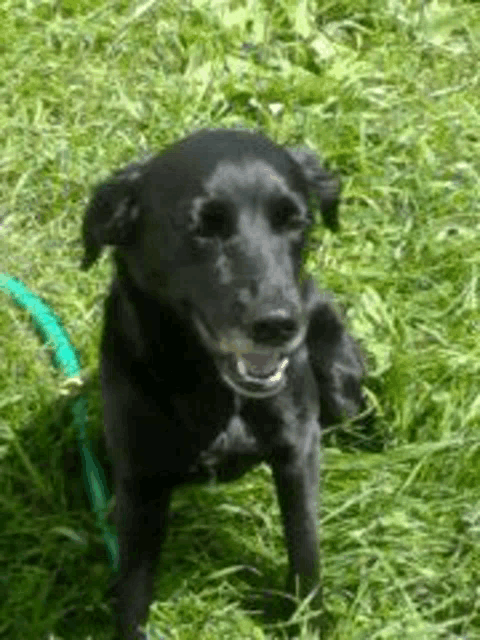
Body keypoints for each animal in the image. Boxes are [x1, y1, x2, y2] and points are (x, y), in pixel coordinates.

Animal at [81, 127, 364, 636]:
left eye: (295, 220)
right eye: (202, 228)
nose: (277, 324)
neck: (214, 389)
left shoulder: (298, 452)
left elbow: (305, 549)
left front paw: (308, 622)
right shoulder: (141, 482)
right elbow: (132, 589)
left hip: (339, 380)